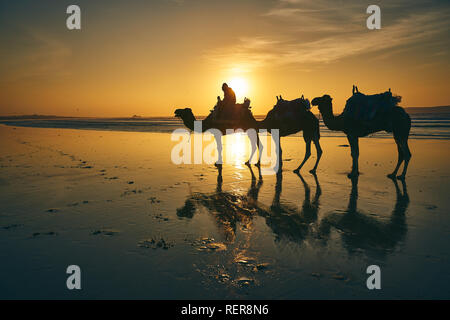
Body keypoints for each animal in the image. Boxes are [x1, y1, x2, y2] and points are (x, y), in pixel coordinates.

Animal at [173, 95, 324, 174]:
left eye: (184, 110)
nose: (175, 110)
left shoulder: (217, 131)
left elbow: (219, 147)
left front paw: (218, 162)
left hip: (308, 130)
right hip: (310, 131)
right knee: (316, 149)